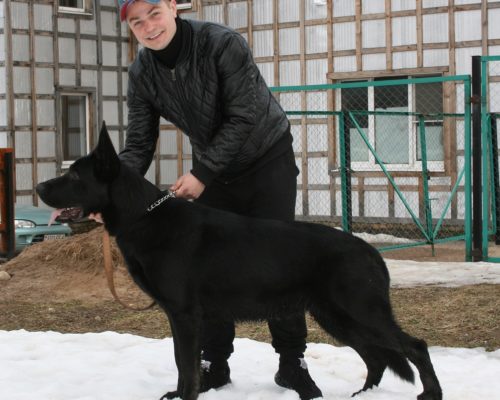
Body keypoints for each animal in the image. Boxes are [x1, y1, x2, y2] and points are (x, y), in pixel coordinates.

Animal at [36, 123, 442, 400]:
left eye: (74, 174)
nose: (39, 187)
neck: (144, 215)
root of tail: (371, 252)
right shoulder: (181, 317)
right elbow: (185, 362)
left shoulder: (185, 315)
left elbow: (186, 365)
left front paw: (186, 395)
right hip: (338, 318)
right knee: (376, 356)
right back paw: (364, 395)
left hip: (360, 313)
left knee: (415, 347)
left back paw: (429, 393)